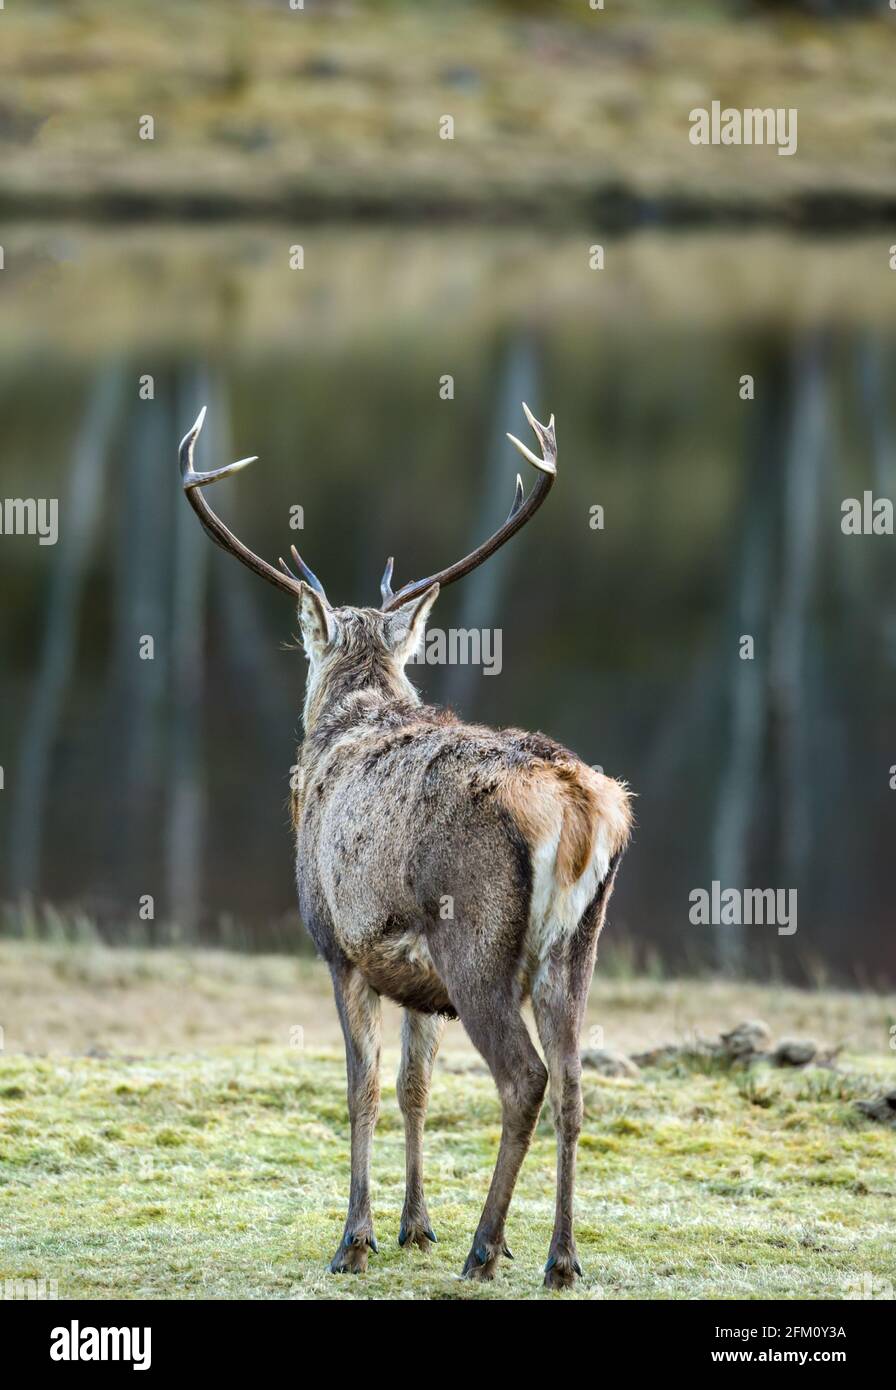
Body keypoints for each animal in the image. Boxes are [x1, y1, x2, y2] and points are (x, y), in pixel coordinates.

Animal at [180, 405, 627, 1289]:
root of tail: (582, 807)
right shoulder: (420, 982)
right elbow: (417, 1084)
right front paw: (414, 1224)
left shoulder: (338, 944)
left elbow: (362, 1086)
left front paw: (355, 1238)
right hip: (577, 945)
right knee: (573, 1081)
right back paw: (560, 1258)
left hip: (477, 939)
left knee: (524, 1077)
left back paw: (486, 1248)